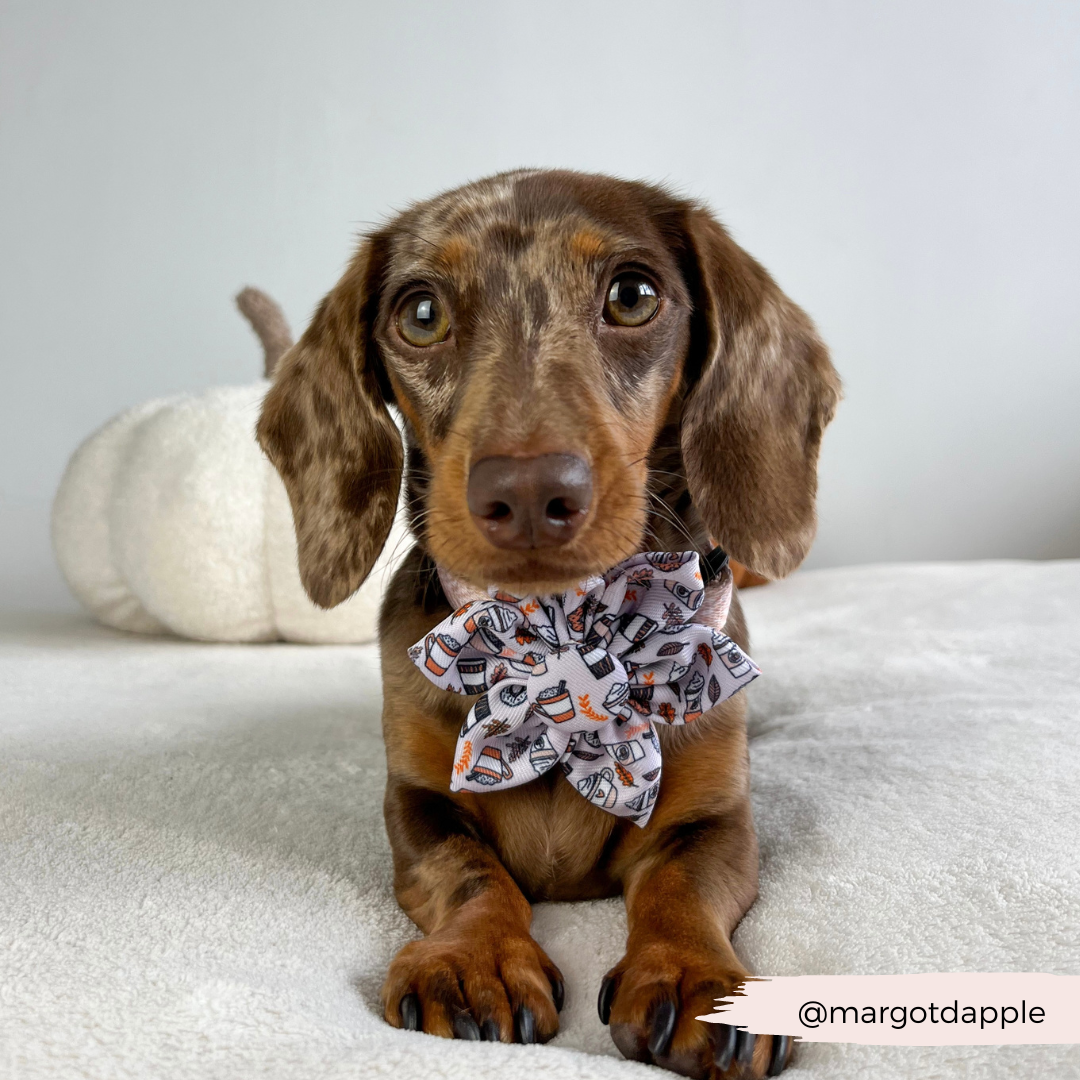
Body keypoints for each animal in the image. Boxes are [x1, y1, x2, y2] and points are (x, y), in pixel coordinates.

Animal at [257, 168, 838, 1080]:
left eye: (633, 295)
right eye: (421, 312)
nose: (528, 494)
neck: (567, 629)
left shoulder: (719, 822)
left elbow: (684, 884)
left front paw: (700, 977)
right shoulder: (418, 805)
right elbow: (469, 872)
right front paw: (475, 957)